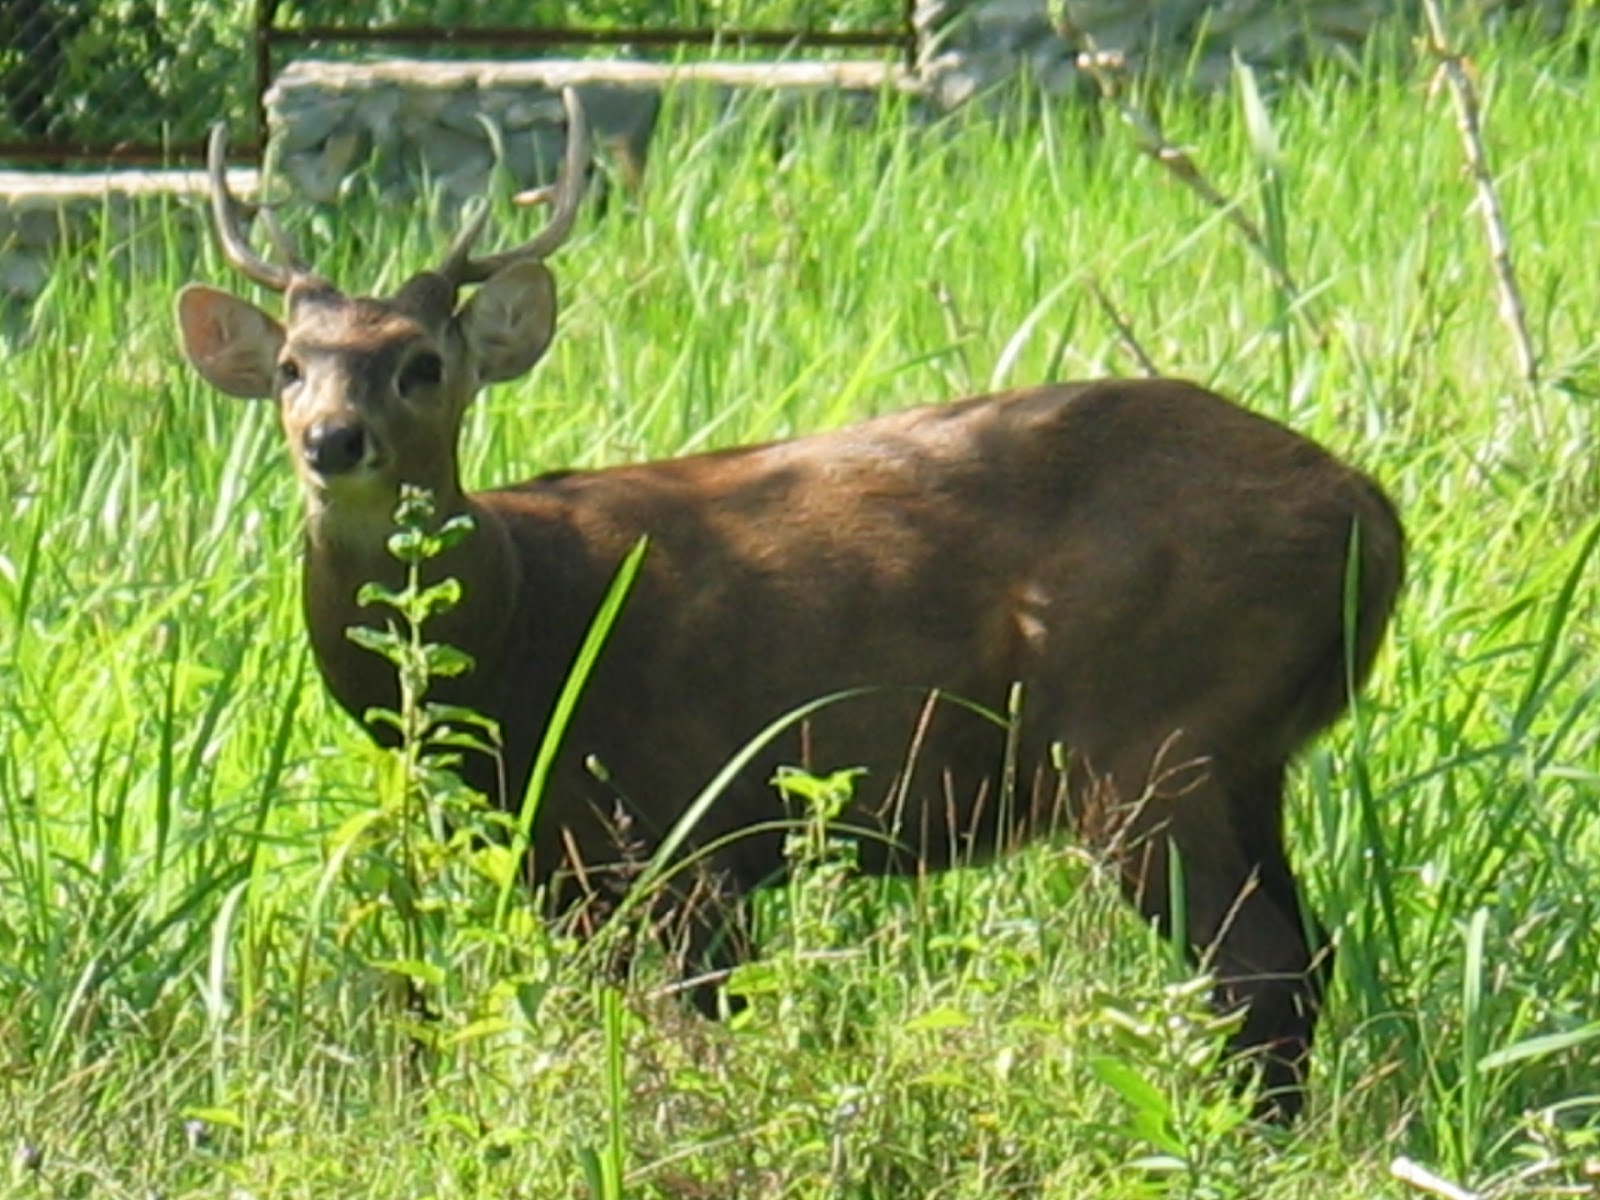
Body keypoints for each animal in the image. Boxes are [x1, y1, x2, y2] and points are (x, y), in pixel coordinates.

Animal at [172, 89, 1401, 1126]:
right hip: (1245, 758)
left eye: (422, 362)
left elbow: (700, 1030)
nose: (333, 441)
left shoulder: (684, 821)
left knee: (1254, 970)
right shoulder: (563, 863)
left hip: (1149, 736)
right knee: (1309, 955)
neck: (524, 629)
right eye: (290, 366)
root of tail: (1372, 513)